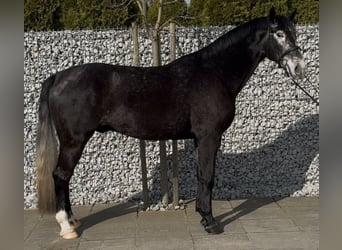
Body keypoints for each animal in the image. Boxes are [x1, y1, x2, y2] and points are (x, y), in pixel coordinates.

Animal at [35, 7, 304, 238]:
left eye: (295, 33)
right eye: (279, 34)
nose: (298, 67)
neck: (214, 73)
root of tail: (59, 76)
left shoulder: (199, 139)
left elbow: (201, 174)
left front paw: (203, 216)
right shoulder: (209, 136)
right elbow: (208, 176)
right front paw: (211, 223)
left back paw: (73, 221)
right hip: (73, 141)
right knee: (61, 175)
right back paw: (67, 227)